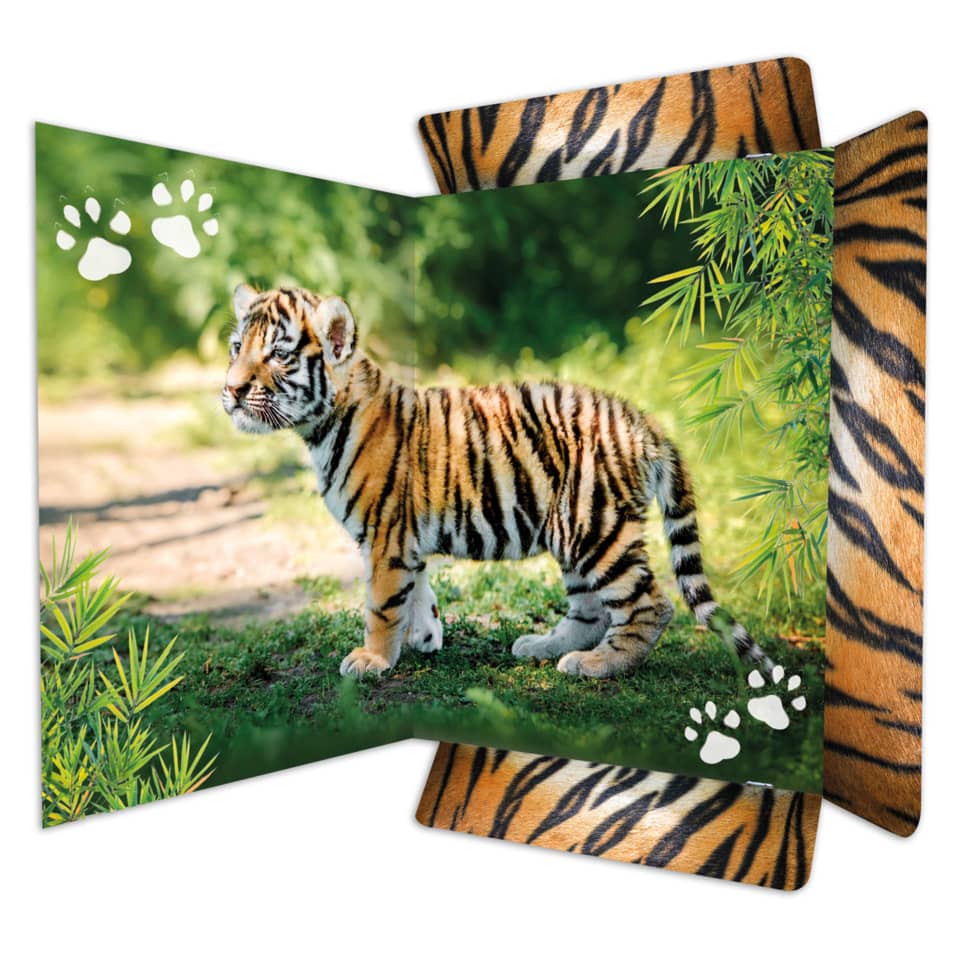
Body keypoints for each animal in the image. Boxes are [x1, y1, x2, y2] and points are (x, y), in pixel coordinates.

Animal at [223, 284, 773, 680]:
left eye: (278, 355)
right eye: (235, 348)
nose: (230, 390)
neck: (320, 426)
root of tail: (642, 420)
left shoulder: (385, 536)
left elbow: (381, 604)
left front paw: (373, 660)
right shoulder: (402, 540)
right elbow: (416, 590)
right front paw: (425, 637)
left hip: (595, 527)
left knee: (649, 606)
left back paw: (599, 665)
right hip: (572, 532)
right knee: (591, 610)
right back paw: (543, 647)